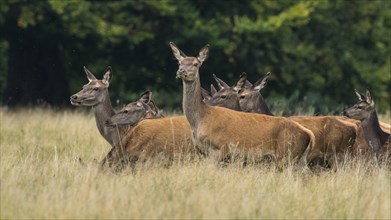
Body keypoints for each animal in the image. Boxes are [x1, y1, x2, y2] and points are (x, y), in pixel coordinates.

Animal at [170, 42, 316, 167]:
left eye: (196, 64)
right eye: (179, 62)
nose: (181, 71)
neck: (201, 119)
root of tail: (309, 134)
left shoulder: (220, 149)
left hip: (287, 156)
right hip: (298, 160)